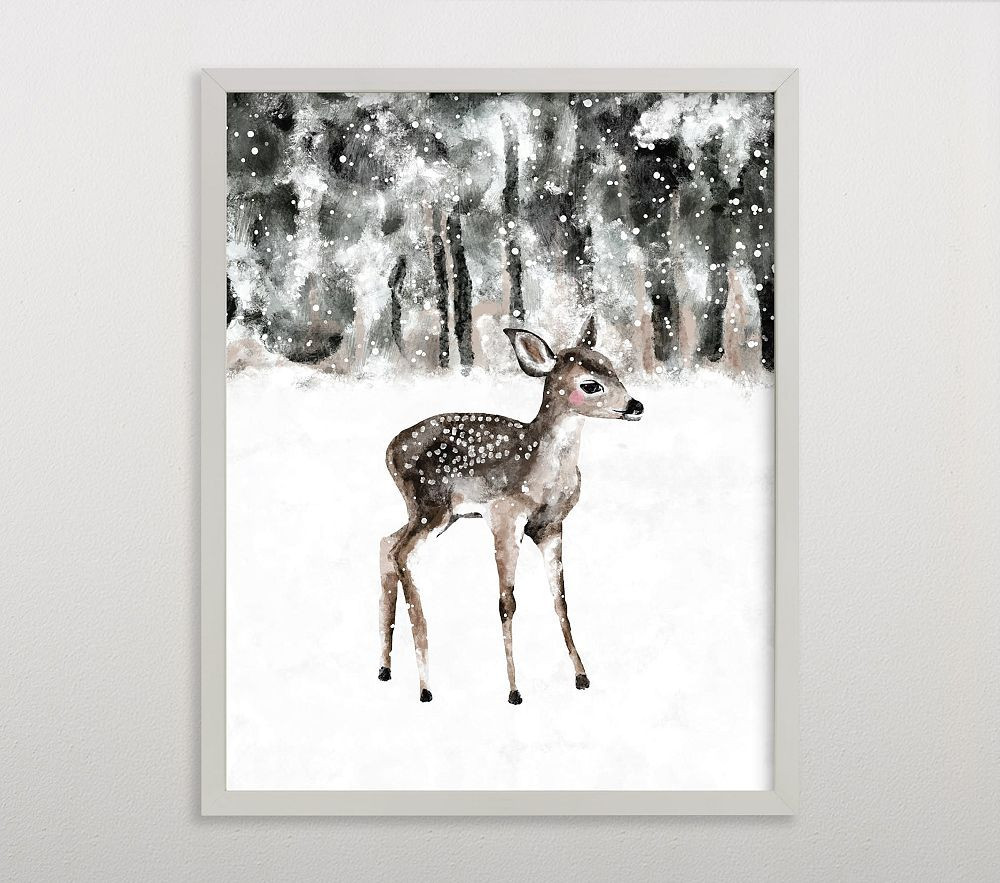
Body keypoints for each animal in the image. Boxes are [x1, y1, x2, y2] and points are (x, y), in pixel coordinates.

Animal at [378, 317, 644, 704]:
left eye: (613, 368)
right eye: (590, 384)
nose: (636, 405)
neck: (545, 472)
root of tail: (389, 449)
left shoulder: (550, 526)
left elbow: (560, 599)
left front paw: (581, 676)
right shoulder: (505, 514)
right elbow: (507, 601)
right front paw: (514, 690)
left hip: (433, 513)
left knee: (386, 543)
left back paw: (385, 669)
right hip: (431, 505)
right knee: (401, 554)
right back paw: (425, 687)